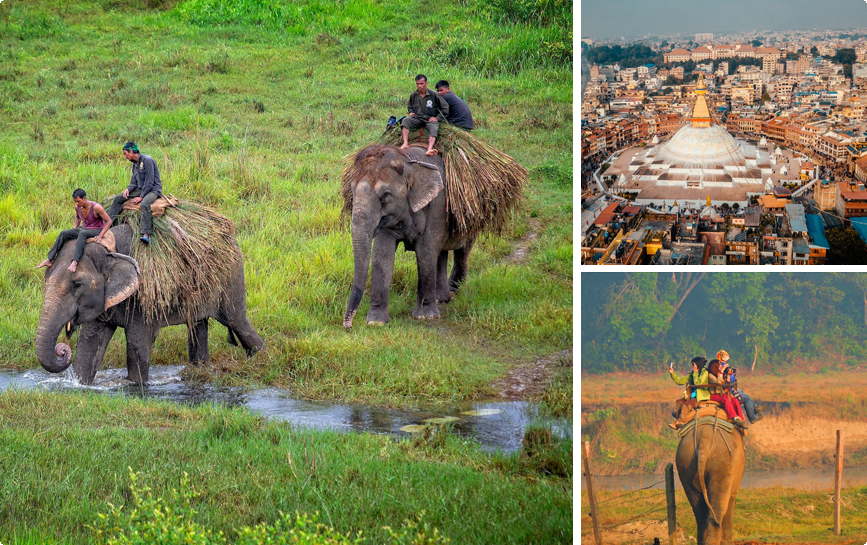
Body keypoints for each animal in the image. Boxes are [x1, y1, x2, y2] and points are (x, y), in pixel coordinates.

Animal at [34, 223, 264, 384]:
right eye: (46, 277)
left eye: (77, 284)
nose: (62, 349)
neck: (110, 249)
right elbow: (89, 344)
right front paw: (81, 385)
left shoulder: (143, 294)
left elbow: (137, 343)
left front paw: (137, 386)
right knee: (198, 326)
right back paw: (200, 371)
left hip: (231, 275)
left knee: (236, 321)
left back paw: (260, 359)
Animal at [344, 142, 478, 328]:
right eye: (352, 191)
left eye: (385, 196)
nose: (348, 325)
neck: (408, 161)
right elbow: (381, 255)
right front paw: (376, 322)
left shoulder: (437, 204)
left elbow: (425, 252)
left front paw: (424, 317)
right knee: (441, 253)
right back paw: (441, 299)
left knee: (462, 249)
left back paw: (453, 290)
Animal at [680, 408, 744, 544]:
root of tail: (704, 438)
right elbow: (731, 499)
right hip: (723, 462)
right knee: (718, 507)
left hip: (686, 462)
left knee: (699, 509)